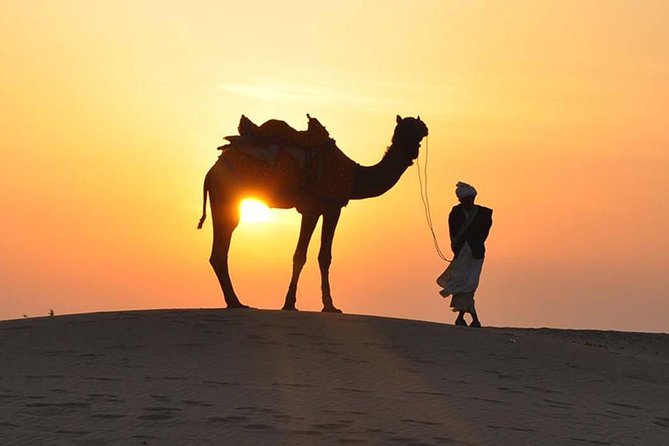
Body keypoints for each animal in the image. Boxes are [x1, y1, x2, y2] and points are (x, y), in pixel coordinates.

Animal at [198, 115, 428, 312]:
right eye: (408, 126)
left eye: (418, 125)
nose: (425, 128)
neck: (355, 176)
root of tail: (211, 172)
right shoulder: (331, 206)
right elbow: (321, 256)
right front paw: (328, 306)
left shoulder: (312, 209)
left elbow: (301, 255)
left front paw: (290, 303)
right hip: (228, 200)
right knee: (220, 250)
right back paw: (236, 302)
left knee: (218, 252)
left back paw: (235, 302)